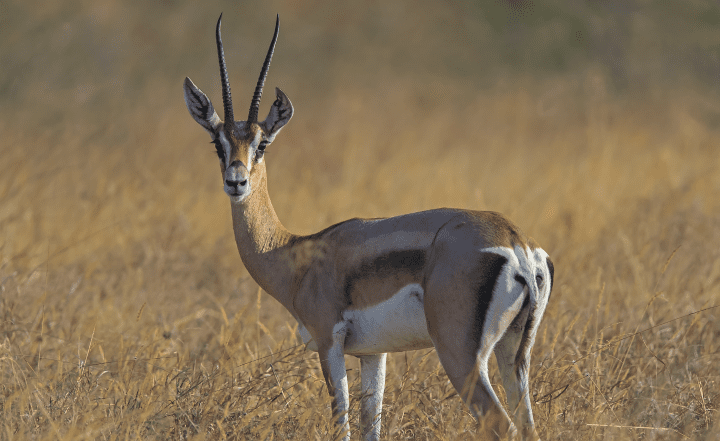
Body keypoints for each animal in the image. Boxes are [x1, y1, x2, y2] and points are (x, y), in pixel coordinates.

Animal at [183, 14, 554, 441]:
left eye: (262, 145)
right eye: (218, 144)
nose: (236, 182)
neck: (296, 254)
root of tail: (516, 243)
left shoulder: (328, 341)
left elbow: (341, 424)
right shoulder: (373, 353)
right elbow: (370, 427)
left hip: (460, 356)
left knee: (501, 424)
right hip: (515, 356)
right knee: (527, 424)